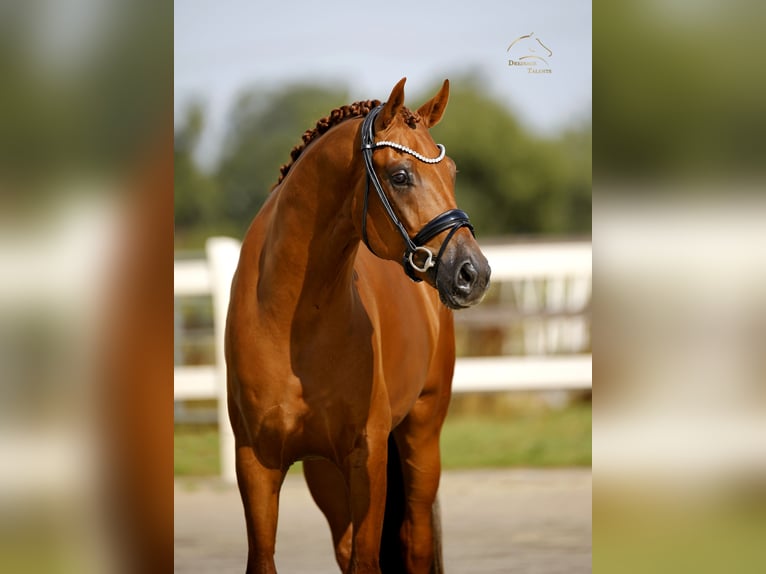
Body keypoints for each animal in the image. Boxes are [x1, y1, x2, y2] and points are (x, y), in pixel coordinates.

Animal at [225, 77, 491, 574]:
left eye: (453, 173)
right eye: (400, 176)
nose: (474, 273)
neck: (293, 325)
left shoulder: (366, 457)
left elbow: (368, 560)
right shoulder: (256, 462)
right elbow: (264, 557)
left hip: (421, 436)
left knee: (415, 542)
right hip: (326, 475)